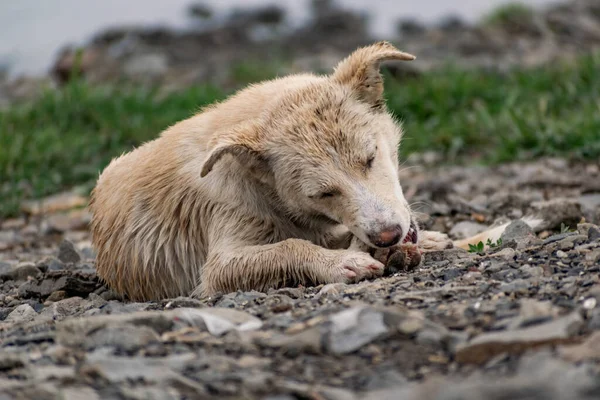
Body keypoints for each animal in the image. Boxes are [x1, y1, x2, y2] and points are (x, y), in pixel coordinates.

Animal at [91, 41, 512, 300]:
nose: (388, 235)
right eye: (324, 193)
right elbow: (287, 246)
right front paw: (341, 263)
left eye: (370, 158)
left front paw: (423, 242)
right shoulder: (220, 255)